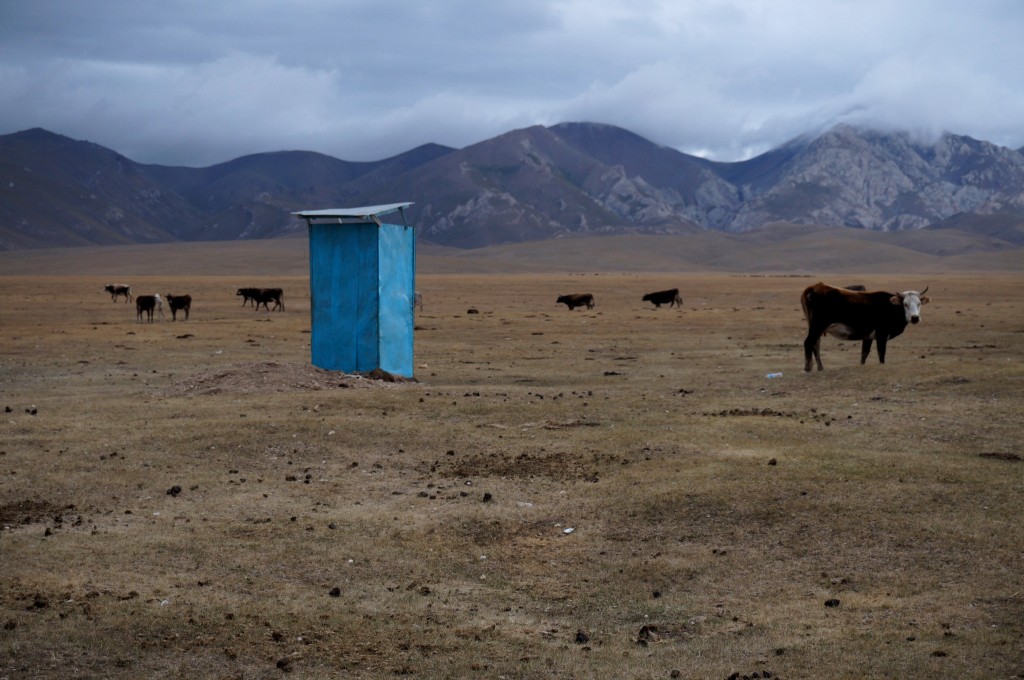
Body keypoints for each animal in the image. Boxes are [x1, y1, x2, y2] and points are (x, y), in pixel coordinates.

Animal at [802, 280, 933, 372]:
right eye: (905, 304)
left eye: (919, 303)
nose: (915, 318)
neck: (891, 307)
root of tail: (815, 287)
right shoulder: (881, 335)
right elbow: (881, 353)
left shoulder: (868, 336)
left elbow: (864, 354)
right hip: (817, 326)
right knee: (809, 342)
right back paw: (808, 367)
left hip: (816, 327)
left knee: (816, 344)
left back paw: (820, 368)